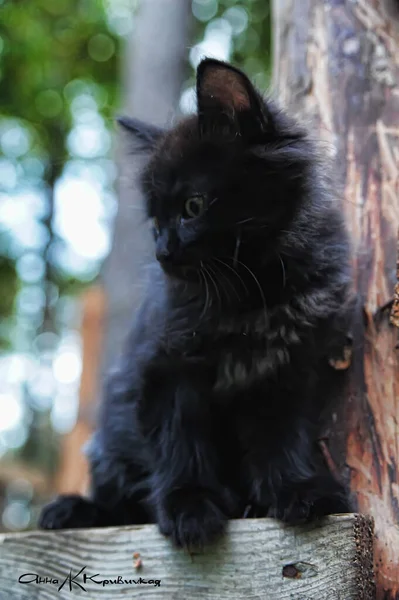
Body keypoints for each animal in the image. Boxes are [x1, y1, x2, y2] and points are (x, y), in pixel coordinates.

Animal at [39, 59, 354, 548]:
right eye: (155, 222)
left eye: (192, 206)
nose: (162, 252)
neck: (252, 294)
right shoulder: (167, 367)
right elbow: (181, 442)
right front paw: (190, 507)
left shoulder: (286, 373)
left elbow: (281, 439)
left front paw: (296, 489)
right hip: (111, 438)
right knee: (119, 498)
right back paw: (75, 510)